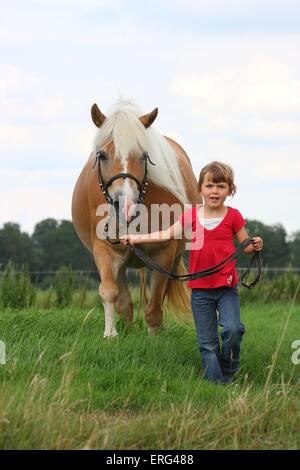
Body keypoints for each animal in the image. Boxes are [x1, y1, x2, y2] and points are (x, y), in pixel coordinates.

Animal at [71, 99, 200, 336]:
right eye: (102, 155)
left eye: (144, 156)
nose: (125, 204)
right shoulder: (105, 249)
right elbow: (109, 292)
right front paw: (110, 334)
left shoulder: (164, 254)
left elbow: (155, 306)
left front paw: (153, 338)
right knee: (125, 303)